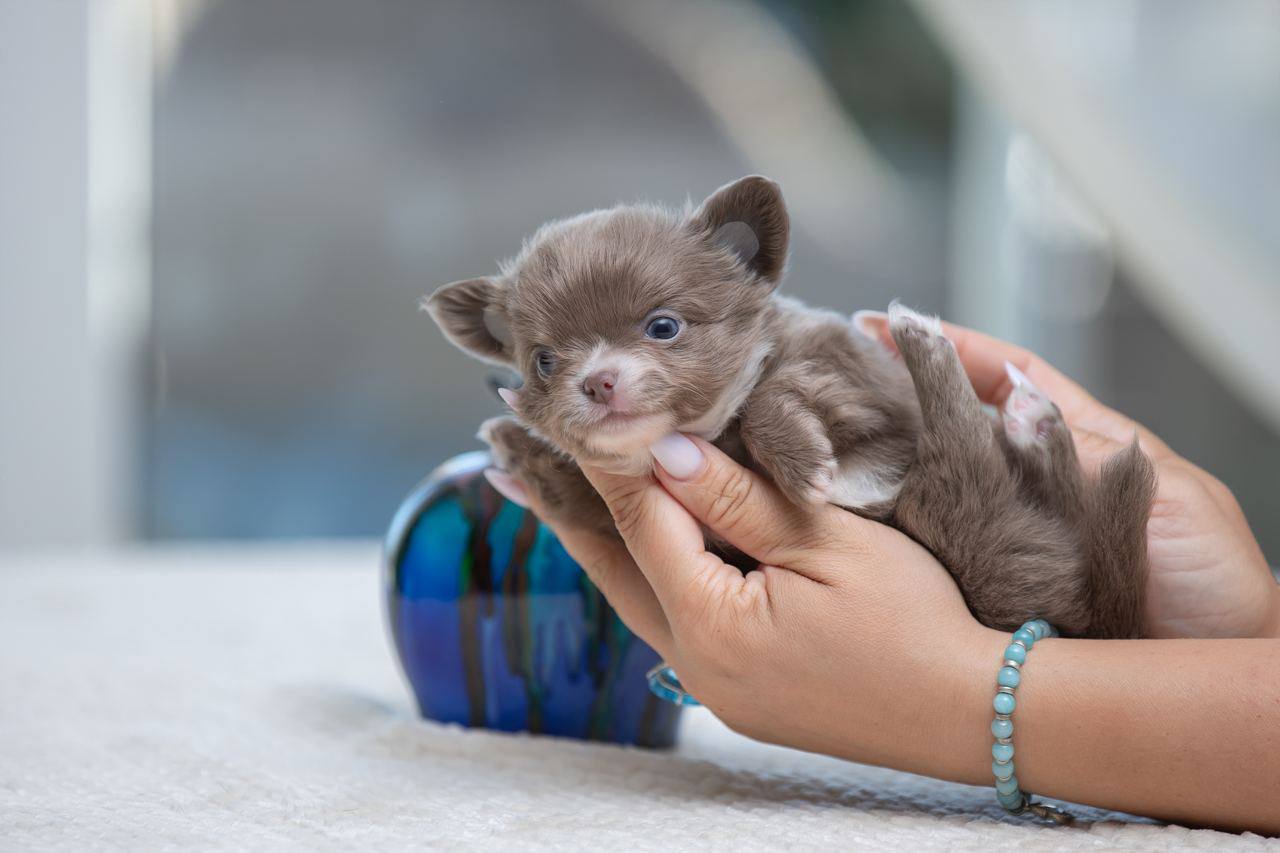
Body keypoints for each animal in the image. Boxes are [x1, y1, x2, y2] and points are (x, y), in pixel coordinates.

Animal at [424, 174, 1157, 637]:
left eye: (663, 326)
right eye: (544, 362)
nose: (597, 381)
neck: (708, 431)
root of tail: (1092, 619)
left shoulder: (861, 384)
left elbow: (775, 393)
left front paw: (800, 460)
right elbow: (574, 493)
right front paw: (517, 452)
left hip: (967, 537)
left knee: (972, 460)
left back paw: (932, 344)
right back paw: (1032, 421)